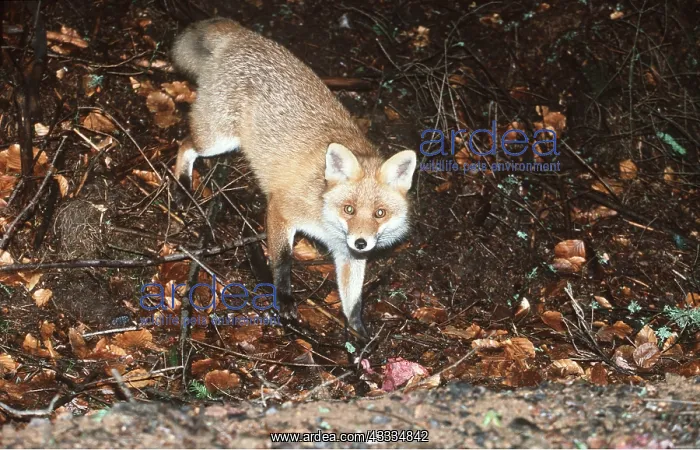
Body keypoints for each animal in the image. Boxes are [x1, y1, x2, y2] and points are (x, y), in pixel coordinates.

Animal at [170, 18, 416, 339]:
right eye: (349, 209)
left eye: (379, 213)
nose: (362, 242)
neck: (322, 206)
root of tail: (243, 34)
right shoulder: (281, 208)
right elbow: (283, 261)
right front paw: (285, 298)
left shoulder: (348, 255)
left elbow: (353, 298)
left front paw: (358, 332)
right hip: (217, 139)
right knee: (184, 144)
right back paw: (181, 186)